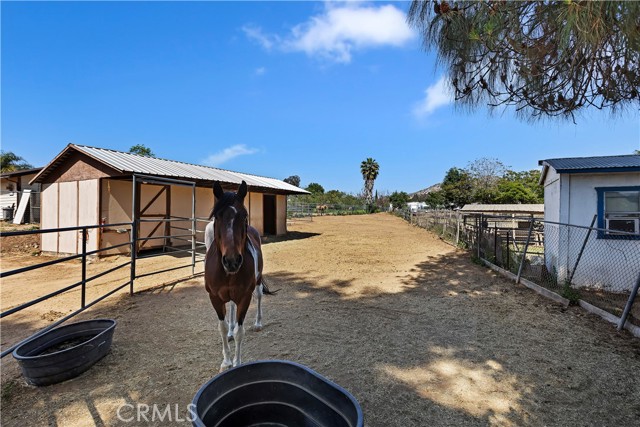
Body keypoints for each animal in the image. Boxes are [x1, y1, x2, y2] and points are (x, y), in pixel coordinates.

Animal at [206, 181, 274, 372]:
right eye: (218, 216)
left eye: (244, 216)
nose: (232, 261)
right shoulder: (215, 297)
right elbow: (221, 328)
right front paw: (226, 362)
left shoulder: (244, 297)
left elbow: (240, 331)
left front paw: (236, 363)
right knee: (231, 307)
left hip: (257, 283)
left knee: (259, 296)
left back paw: (258, 323)